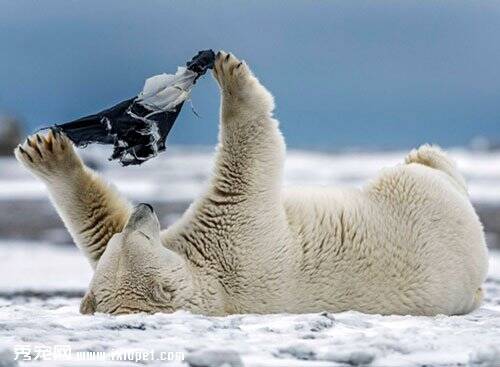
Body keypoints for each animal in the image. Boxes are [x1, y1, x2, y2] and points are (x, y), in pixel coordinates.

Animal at [15, 51, 488, 316]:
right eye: (138, 239)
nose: (144, 209)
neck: (214, 286)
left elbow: (97, 225)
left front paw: (44, 151)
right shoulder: (237, 242)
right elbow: (249, 159)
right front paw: (230, 74)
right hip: (419, 200)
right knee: (424, 175)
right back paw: (427, 154)